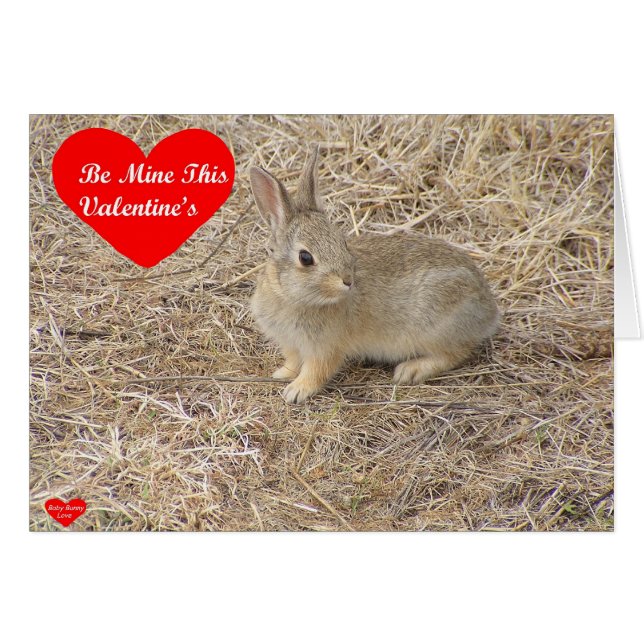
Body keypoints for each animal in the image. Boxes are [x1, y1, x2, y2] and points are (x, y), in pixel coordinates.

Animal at [249, 147, 499, 404]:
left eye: (342, 242)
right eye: (305, 258)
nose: (348, 281)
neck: (291, 297)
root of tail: (488, 311)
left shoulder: (325, 347)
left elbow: (317, 371)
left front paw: (296, 391)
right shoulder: (291, 344)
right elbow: (292, 361)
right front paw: (281, 374)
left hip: (435, 329)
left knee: (457, 353)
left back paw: (411, 370)